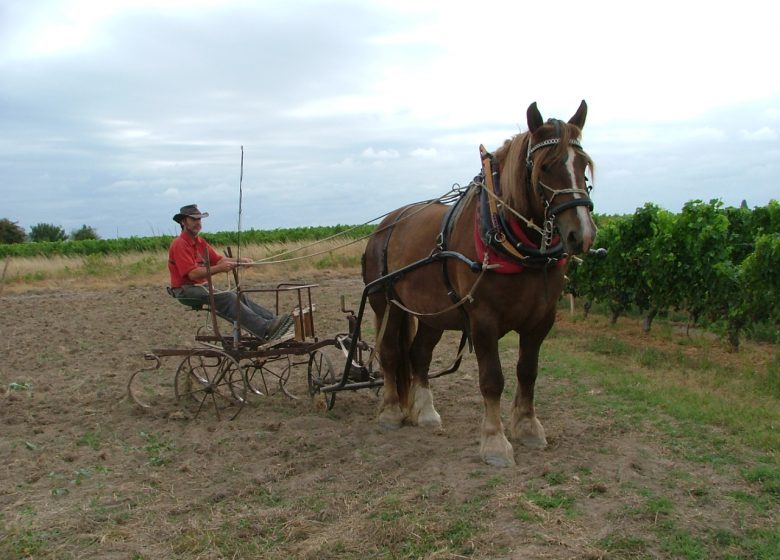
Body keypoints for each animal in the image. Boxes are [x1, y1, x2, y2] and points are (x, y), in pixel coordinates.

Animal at [362, 101, 596, 468]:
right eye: (545, 166)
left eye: (582, 164)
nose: (582, 234)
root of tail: (385, 225)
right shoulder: (483, 321)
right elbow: (492, 380)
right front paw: (495, 442)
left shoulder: (541, 320)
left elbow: (527, 372)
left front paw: (528, 427)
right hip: (387, 305)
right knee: (389, 353)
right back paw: (391, 412)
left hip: (433, 314)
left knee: (419, 355)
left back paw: (425, 412)